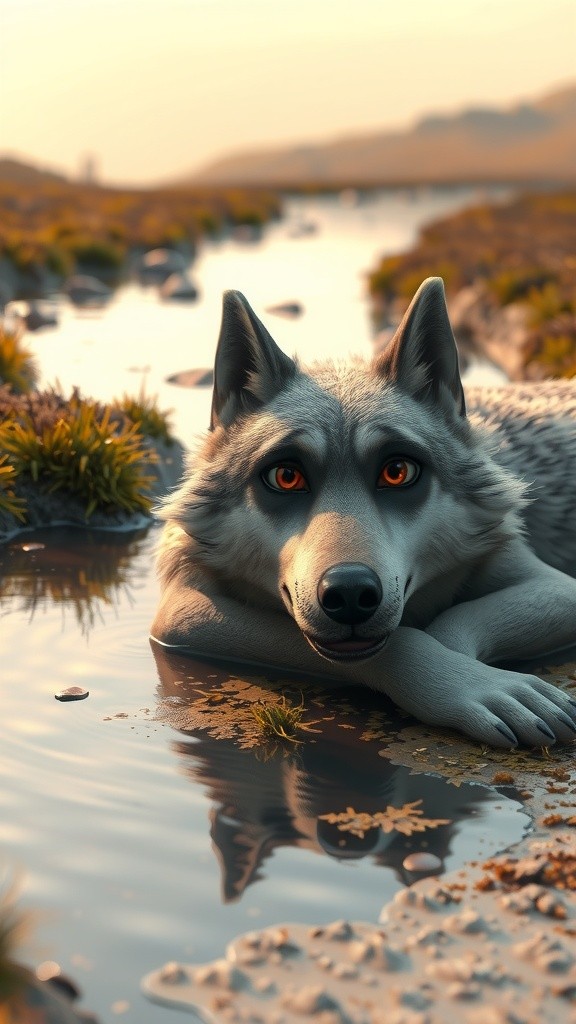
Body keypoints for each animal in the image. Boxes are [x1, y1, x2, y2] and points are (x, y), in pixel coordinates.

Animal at [151, 277, 576, 748]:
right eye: (286, 476)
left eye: (397, 472)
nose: (350, 592)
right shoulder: (183, 608)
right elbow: (404, 641)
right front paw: (474, 684)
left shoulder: (557, 587)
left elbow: (447, 623)